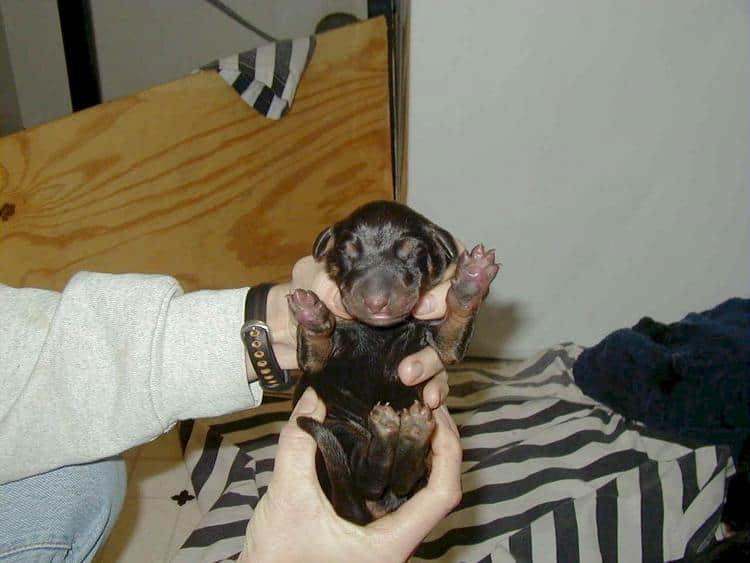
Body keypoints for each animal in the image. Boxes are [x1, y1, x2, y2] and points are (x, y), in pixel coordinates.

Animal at [290, 202, 500, 524]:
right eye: (348, 252)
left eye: (410, 252)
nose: (375, 301)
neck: (382, 333)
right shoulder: (317, 362)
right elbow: (313, 356)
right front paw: (311, 315)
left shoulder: (440, 343)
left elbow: (452, 336)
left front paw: (470, 283)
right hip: (340, 429)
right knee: (367, 475)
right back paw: (389, 432)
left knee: (401, 477)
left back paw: (410, 431)